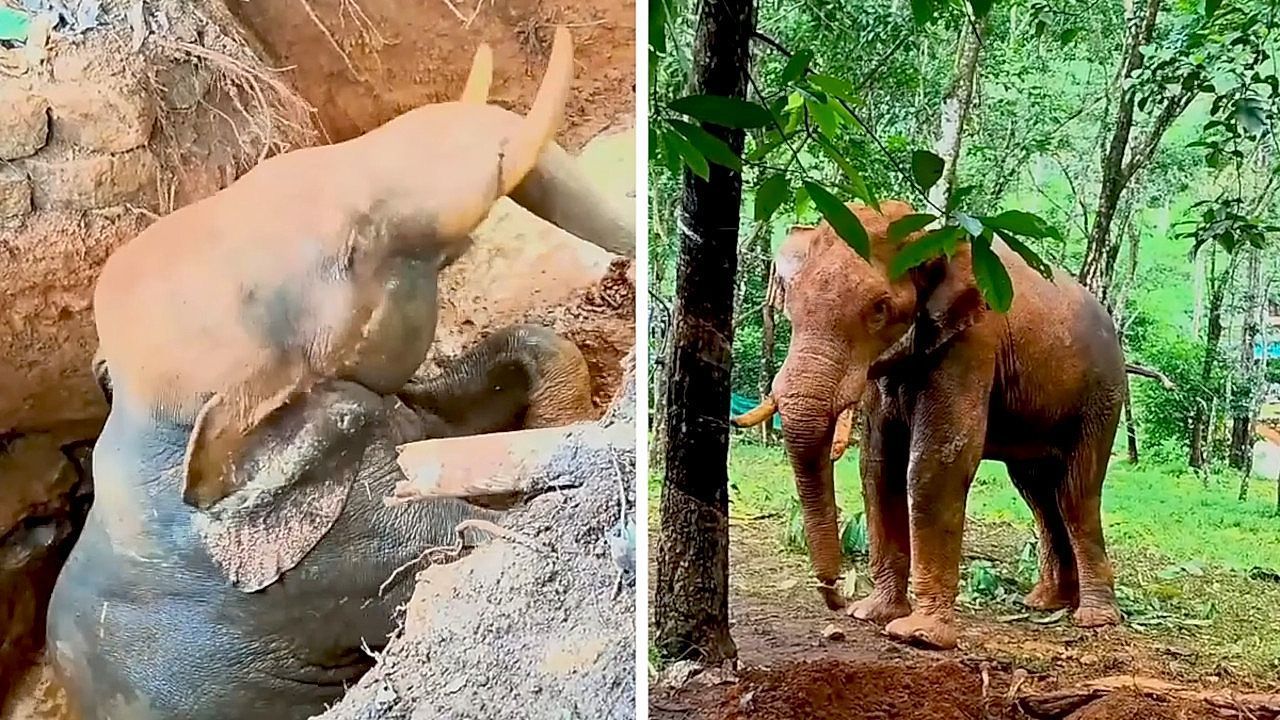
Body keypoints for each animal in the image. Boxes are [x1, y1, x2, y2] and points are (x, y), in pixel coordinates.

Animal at [733, 200, 1125, 650]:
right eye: (790, 305)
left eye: (880, 309)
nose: (834, 594)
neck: (933, 238)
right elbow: (877, 466)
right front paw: (871, 613)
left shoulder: (973, 342)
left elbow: (937, 463)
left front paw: (920, 636)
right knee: (1039, 493)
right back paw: (1044, 603)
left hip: (1103, 395)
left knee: (1076, 492)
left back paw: (1094, 618)